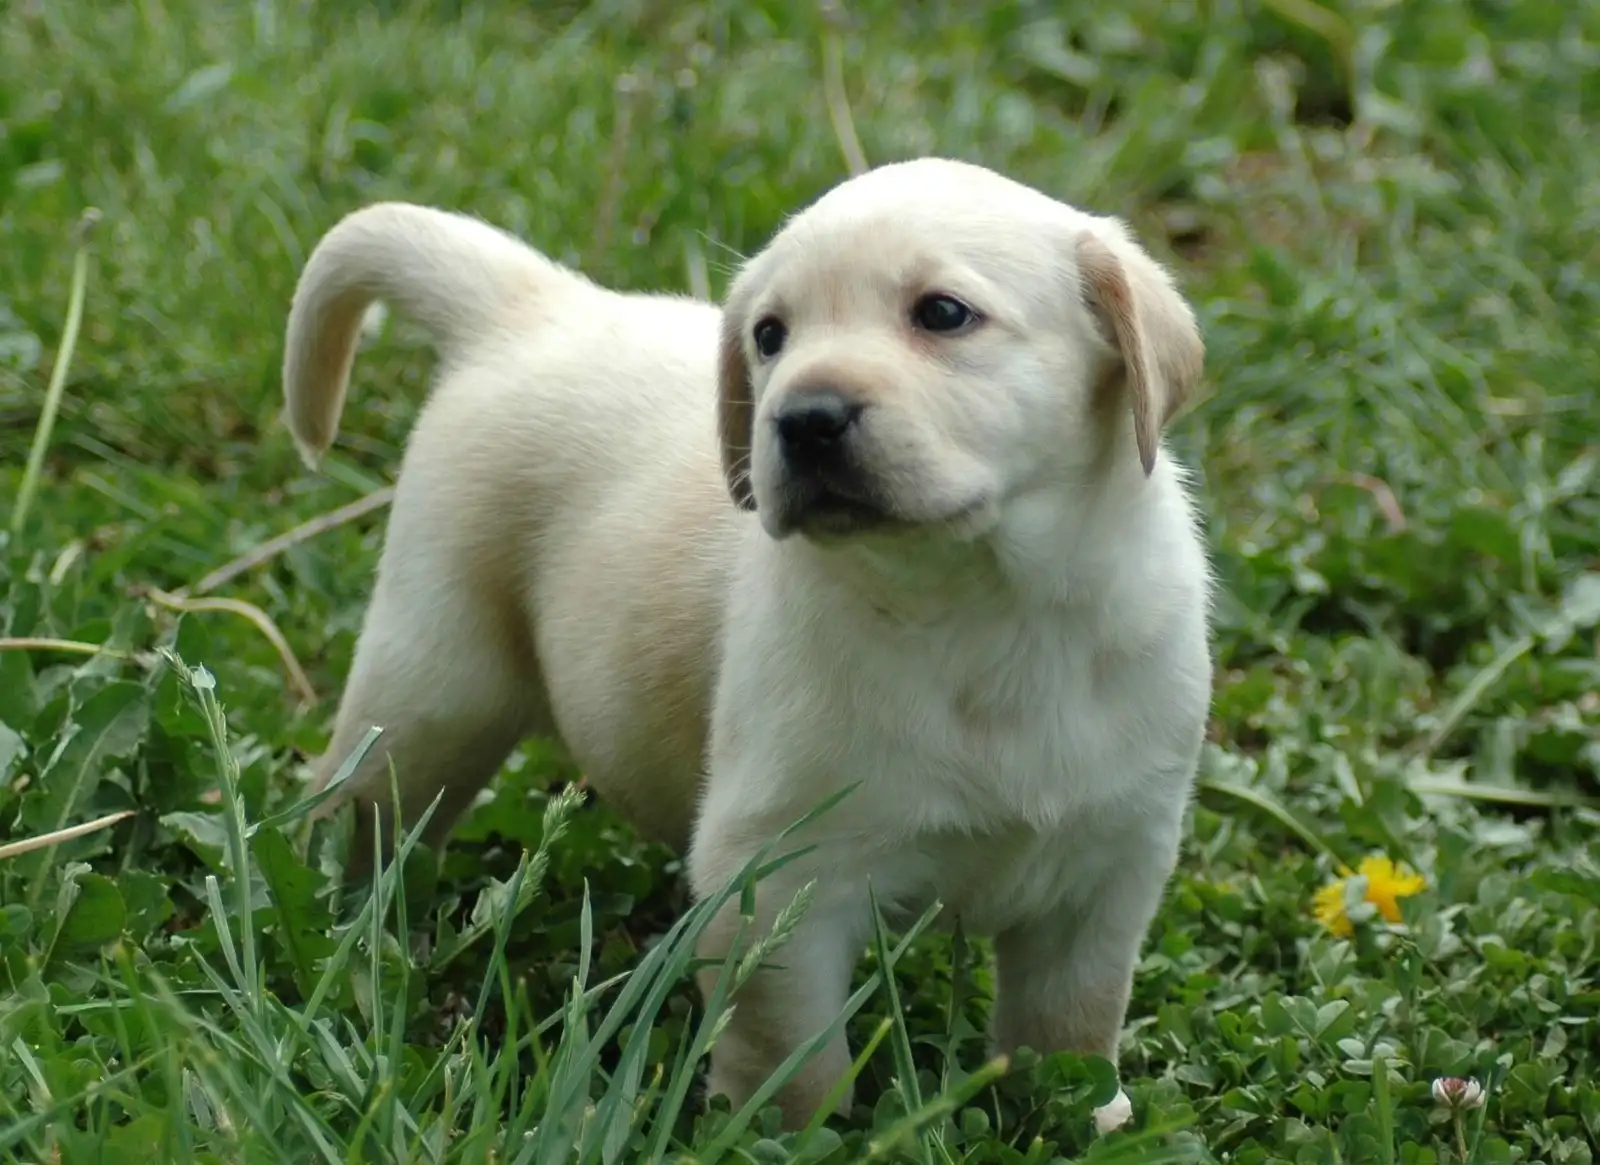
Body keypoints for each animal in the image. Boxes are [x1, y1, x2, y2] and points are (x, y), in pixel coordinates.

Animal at [284, 154, 1209, 1126]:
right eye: (770, 336)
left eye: (943, 314)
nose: (804, 417)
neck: (982, 602)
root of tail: (538, 304)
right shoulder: (777, 872)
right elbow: (790, 1051)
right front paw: (779, 1131)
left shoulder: (1110, 866)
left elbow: (1072, 1021)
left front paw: (1083, 1116)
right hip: (433, 686)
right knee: (358, 809)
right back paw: (346, 929)